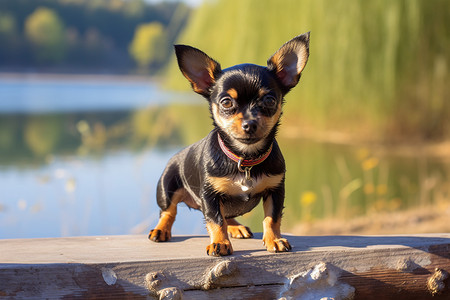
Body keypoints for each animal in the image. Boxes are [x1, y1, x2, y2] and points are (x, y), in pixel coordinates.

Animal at [148, 31, 310, 255]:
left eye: (269, 100)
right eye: (226, 102)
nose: (250, 124)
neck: (245, 158)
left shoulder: (276, 190)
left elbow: (272, 218)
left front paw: (274, 239)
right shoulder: (210, 195)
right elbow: (215, 220)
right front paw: (220, 243)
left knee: (227, 215)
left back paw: (236, 227)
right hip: (167, 188)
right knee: (168, 212)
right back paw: (160, 230)